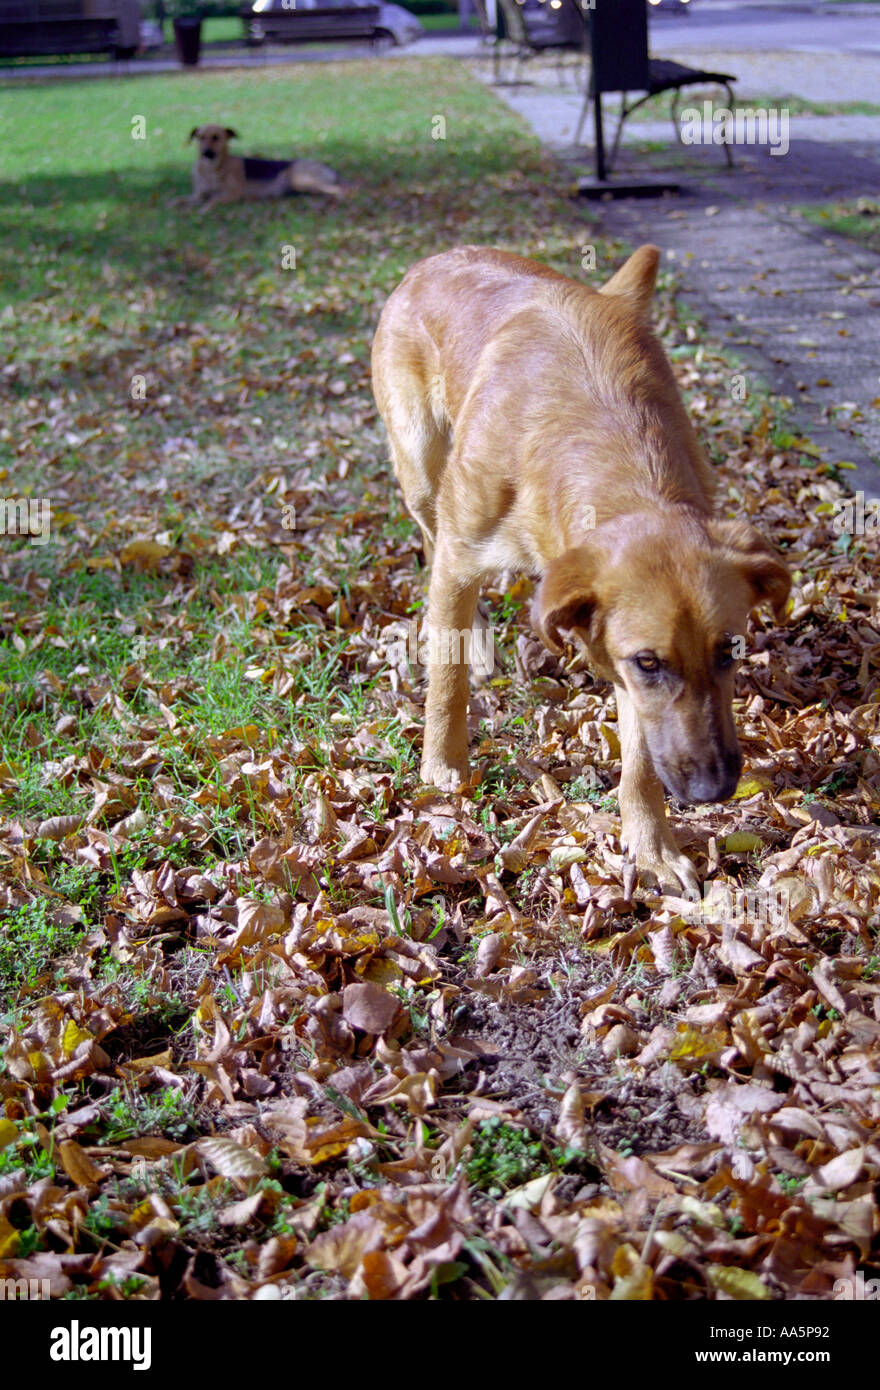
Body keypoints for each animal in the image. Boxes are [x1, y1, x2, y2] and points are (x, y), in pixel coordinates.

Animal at [186, 123, 343, 209]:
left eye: (216, 137)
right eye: (201, 137)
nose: (205, 153)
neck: (211, 170)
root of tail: (327, 167)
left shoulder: (232, 194)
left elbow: (212, 200)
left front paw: (203, 210)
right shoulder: (196, 195)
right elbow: (181, 200)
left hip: (302, 181)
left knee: (341, 190)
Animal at [369, 246, 789, 889]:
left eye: (731, 651)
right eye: (650, 662)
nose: (715, 790)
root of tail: (438, 258)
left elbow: (640, 760)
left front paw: (651, 846)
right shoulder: (463, 556)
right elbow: (445, 679)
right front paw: (442, 766)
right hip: (420, 471)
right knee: (432, 544)